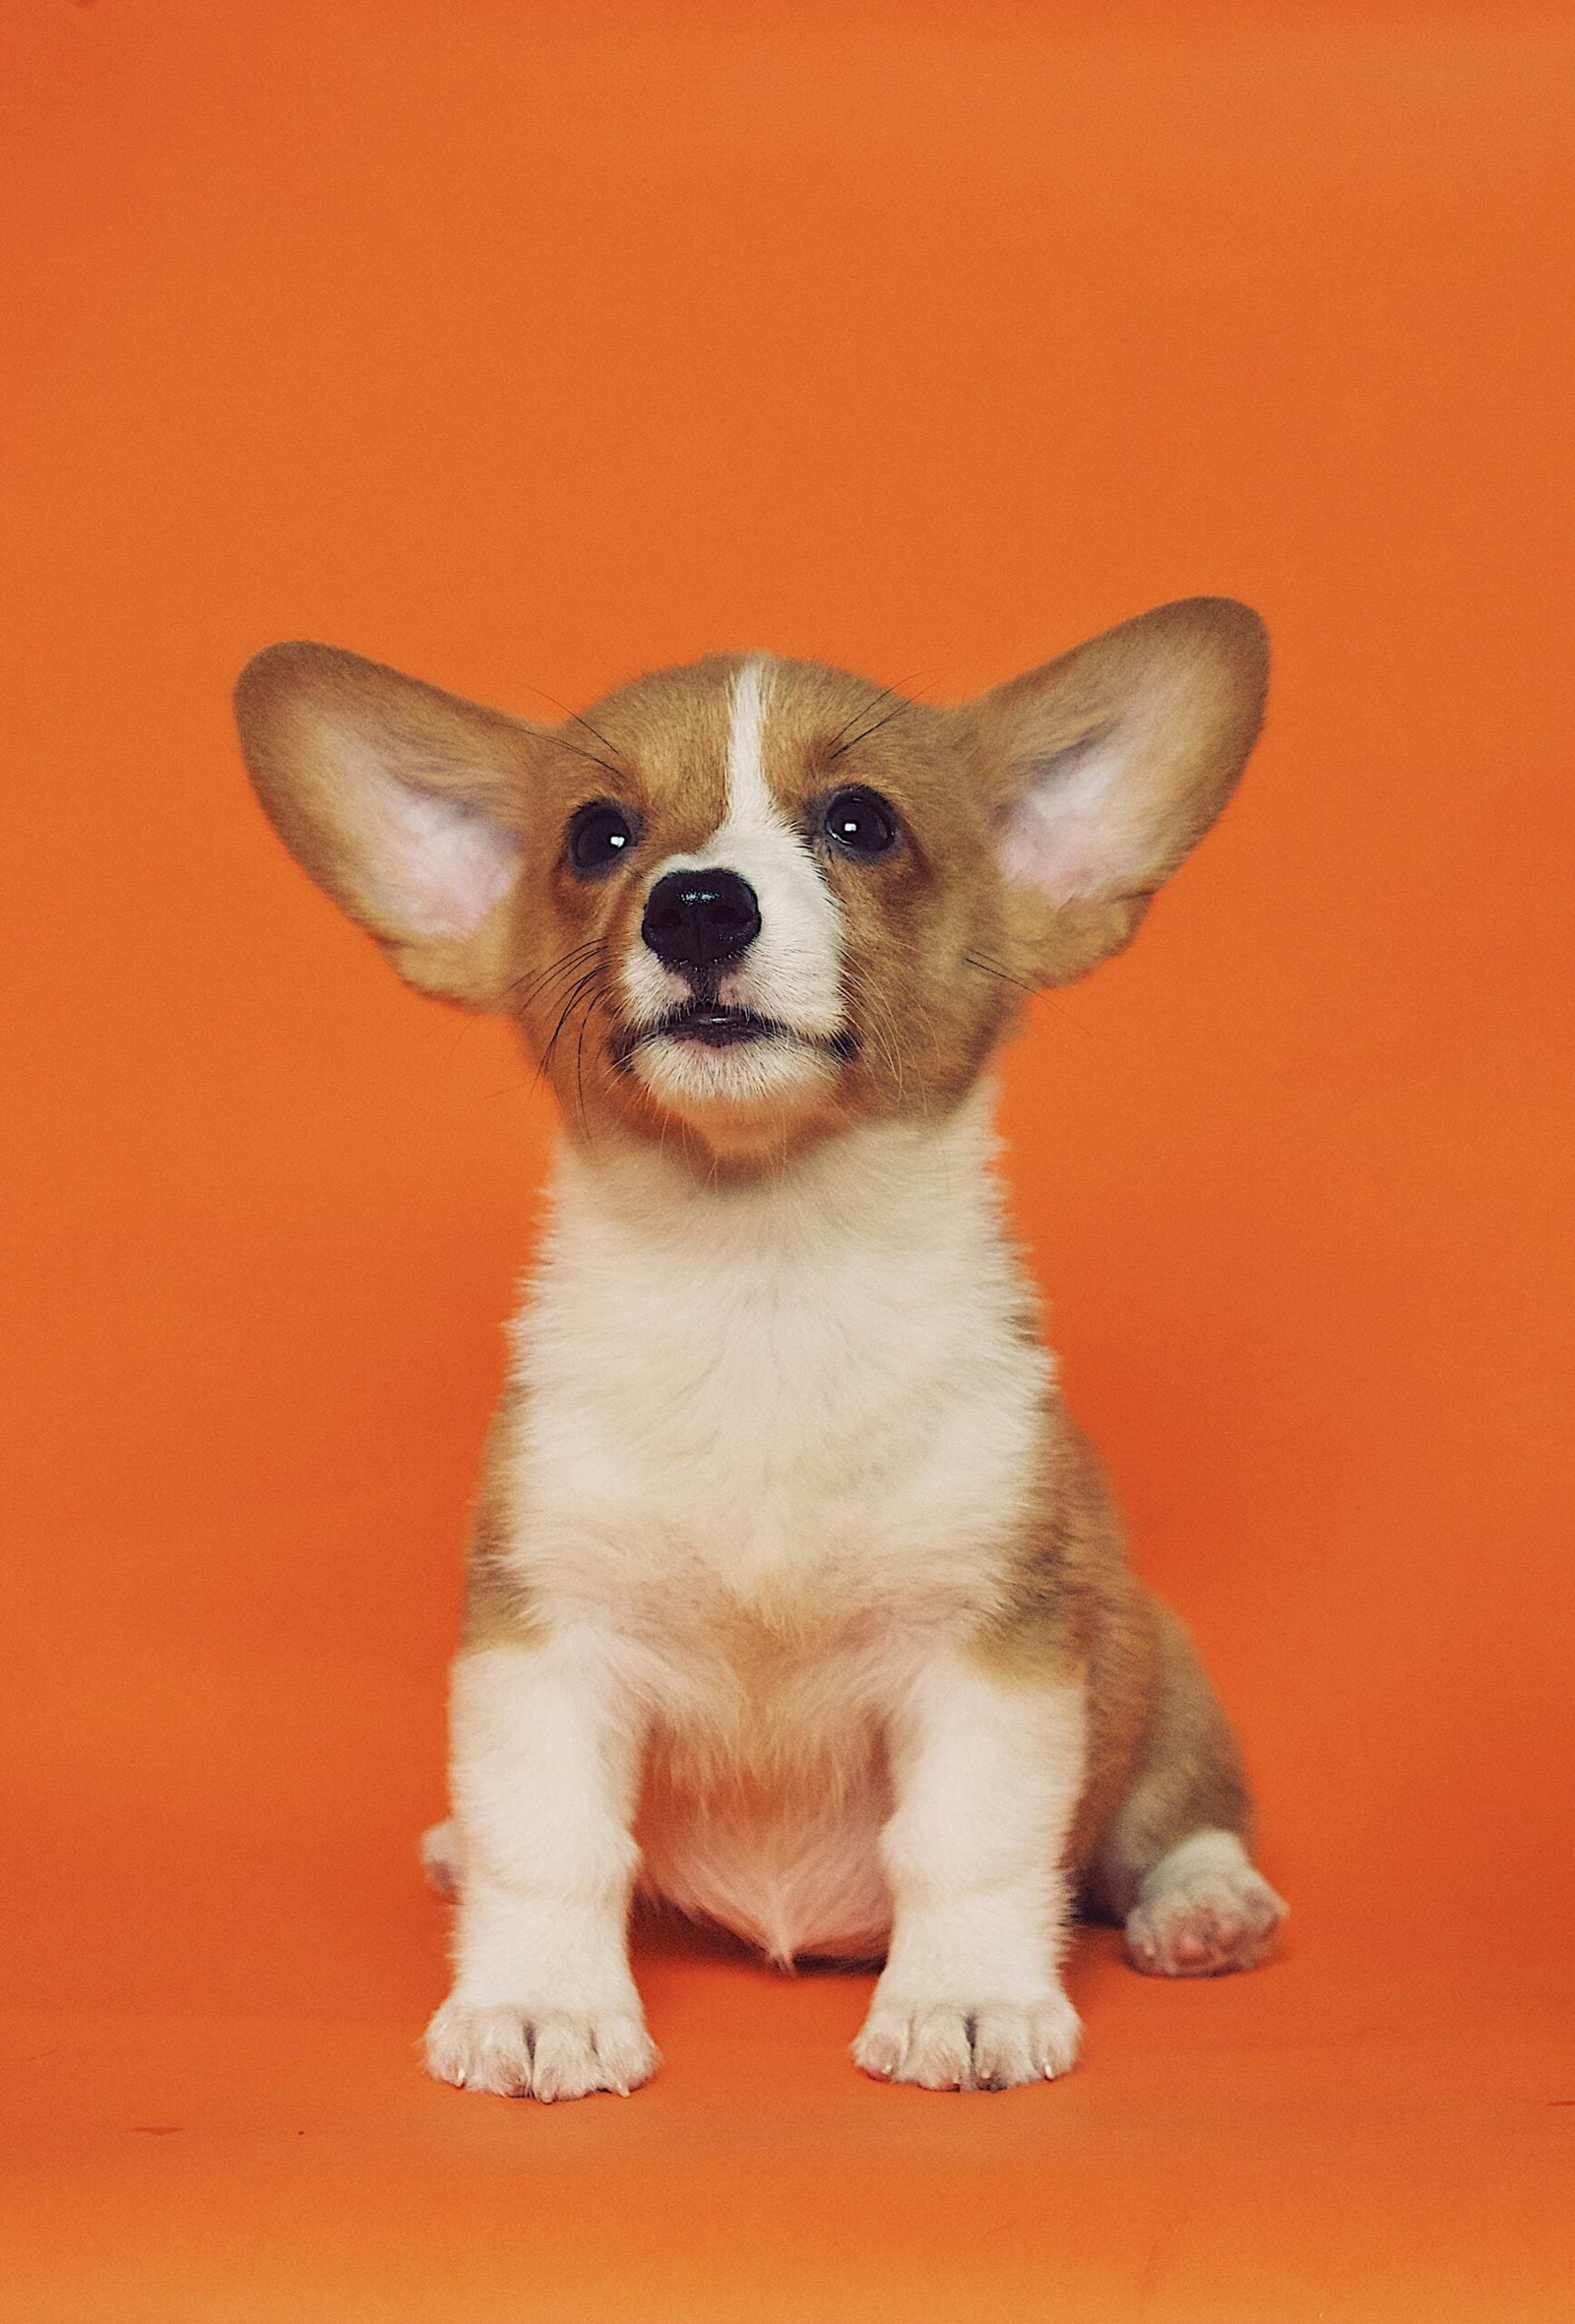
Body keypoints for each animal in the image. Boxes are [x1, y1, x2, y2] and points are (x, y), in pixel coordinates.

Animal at [237, 599, 1292, 2109]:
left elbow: (966, 1844)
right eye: (598, 837)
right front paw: (539, 2006)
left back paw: (1206, 1908)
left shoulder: (989, 1650)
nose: (696, 905)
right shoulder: (546, 1642)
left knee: (1172, 1822)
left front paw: (966, 2001)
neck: (763, 1280)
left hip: (1164, 1680)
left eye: (861, 822)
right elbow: (548, 1844)